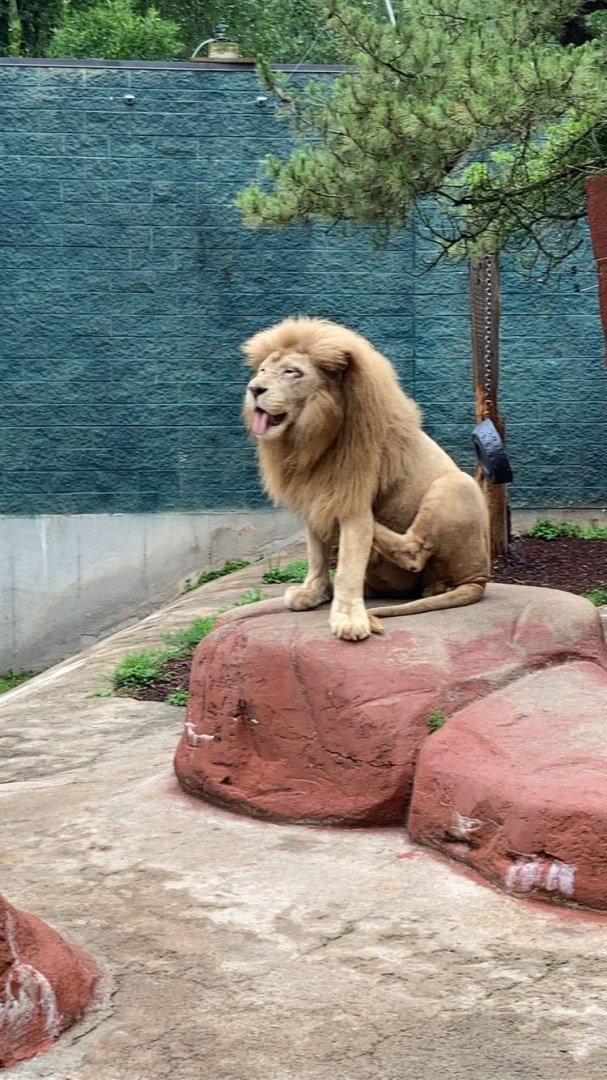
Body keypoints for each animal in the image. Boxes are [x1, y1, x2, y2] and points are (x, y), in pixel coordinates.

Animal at [242, 317, 490, 641]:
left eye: (291, 372)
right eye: (261, 371)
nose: (254, 389)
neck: (311, 437)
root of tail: (479, 577)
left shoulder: (353, 499)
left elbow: (347, 567)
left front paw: (348, 618)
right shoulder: (311, 499)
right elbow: (316, 554)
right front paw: (314, 592)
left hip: (458, 483)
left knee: (413, 551)